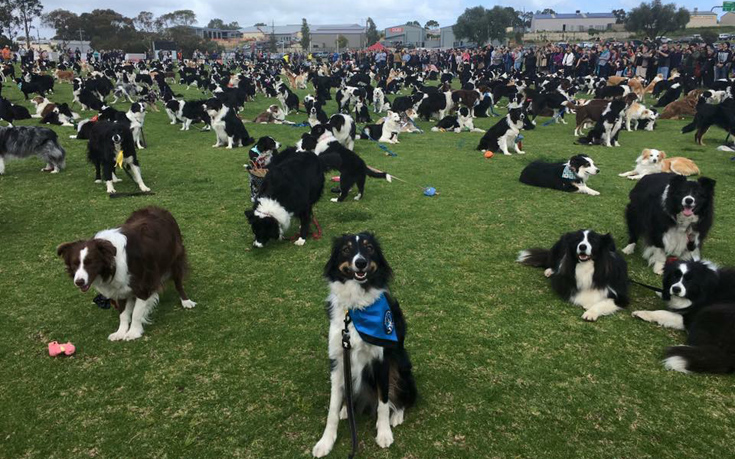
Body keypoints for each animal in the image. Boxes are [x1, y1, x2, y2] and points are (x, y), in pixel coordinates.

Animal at [57, 208, 196, 342]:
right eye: (74, 264)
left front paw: (133, 332)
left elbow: (136, 313)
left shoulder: (143, 286)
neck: (112, 262)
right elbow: (123, 314)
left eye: (90, 262)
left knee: (178, 283)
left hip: (175, 258)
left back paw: (186, 301)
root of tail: (157, 207)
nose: (79, 282)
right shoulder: (120, 289)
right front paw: (120, 332)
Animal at [314, 235, 420, 458]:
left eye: (369, 248)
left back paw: (396, 415)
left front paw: (384, 434)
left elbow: (383, 401)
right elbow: (332, 408)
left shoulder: (382, 360)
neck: (356, 309)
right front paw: (325, 442)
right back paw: (346, 409)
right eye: (346, 249)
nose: (360, 262)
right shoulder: (338, 359)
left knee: (402, 398)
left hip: (401, 365)